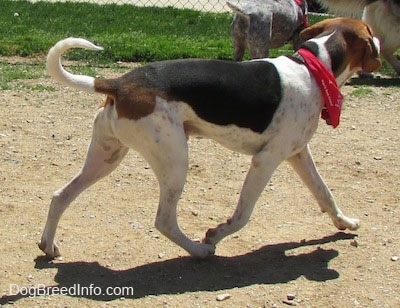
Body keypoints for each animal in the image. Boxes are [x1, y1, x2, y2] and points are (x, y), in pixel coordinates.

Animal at [38, 16, 382, 258]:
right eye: (370, 31)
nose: (381, 40)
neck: (313, 67)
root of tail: (119, 83)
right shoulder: (266, 160)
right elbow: (242, 215)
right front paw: (215, 234)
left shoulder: (298, 153)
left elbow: (325, 194)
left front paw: (345, 223)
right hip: (175, 162)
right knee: (164, 221)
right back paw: (199, 250)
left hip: (106, 157)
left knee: (60, 195)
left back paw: (48, 245)